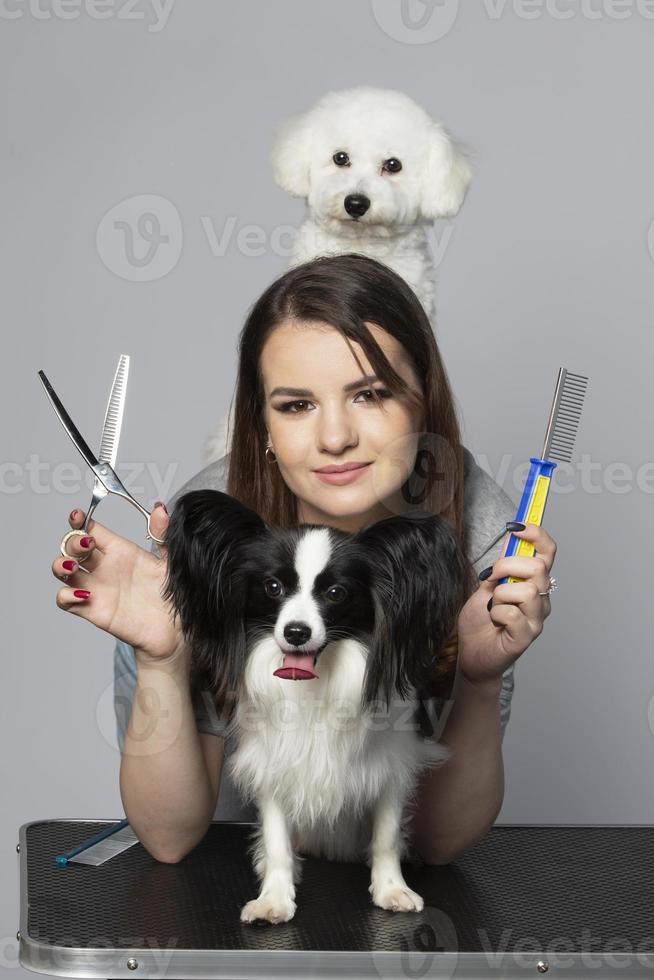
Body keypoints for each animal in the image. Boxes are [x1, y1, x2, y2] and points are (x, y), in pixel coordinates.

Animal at [164, 490, 472, 928]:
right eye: (273, 587)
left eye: (336, 593)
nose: (296, 632)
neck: (316, 682)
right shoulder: (273, 768)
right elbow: (276, 840)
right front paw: (274, 898)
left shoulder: (392, 768)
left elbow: (386, 835)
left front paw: (391, 889)